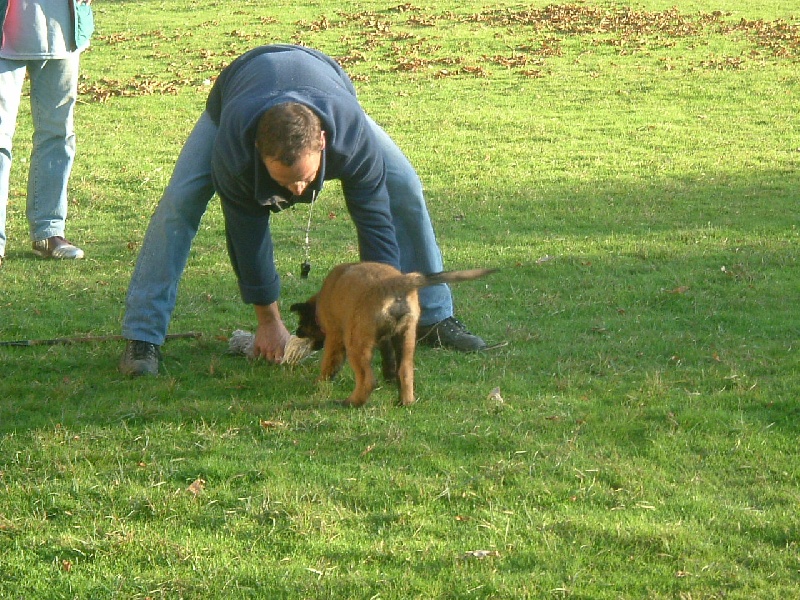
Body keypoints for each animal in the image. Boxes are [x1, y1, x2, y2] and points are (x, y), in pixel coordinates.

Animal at [290, 262, 496, 408]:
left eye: (303, 323)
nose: (297, 332)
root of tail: (394, 283)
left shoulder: (335, 337)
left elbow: (330, 364)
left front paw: (320, 383)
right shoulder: (386, 341)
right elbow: (389, 362)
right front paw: (389, 378)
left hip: (355, 342)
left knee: (368, 380)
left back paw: (351, 403)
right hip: (406, 338)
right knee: (404, 371)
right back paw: (404, 402)